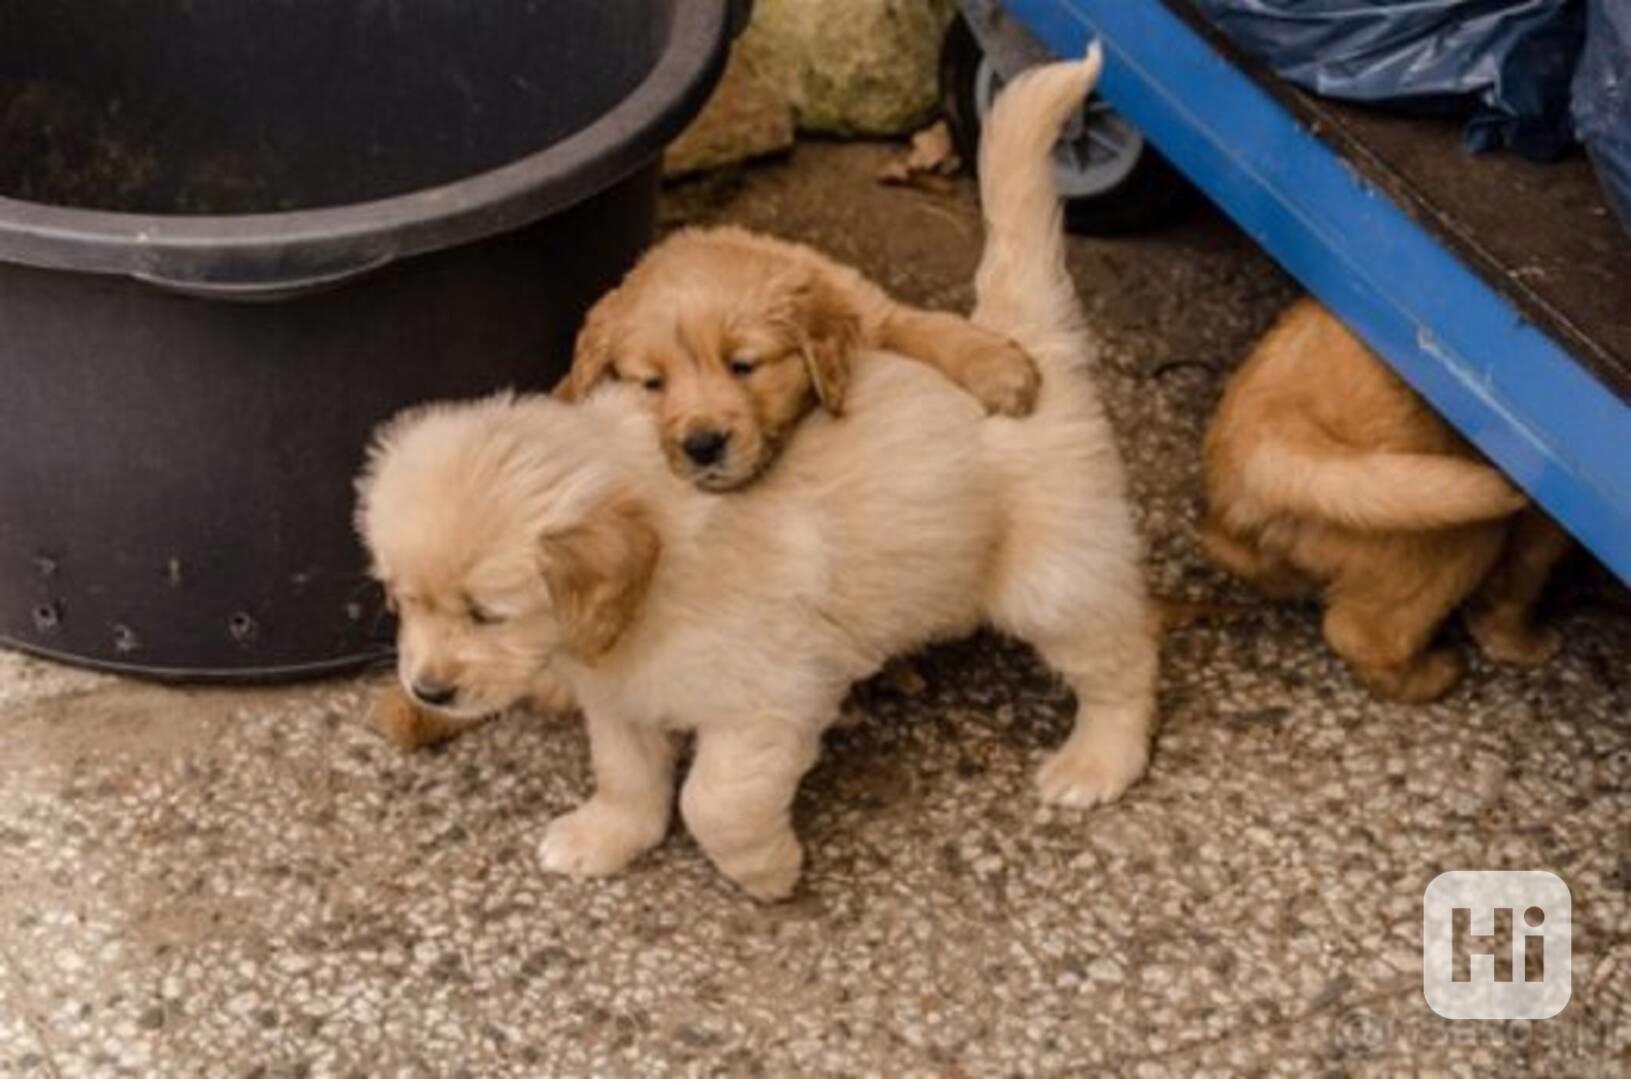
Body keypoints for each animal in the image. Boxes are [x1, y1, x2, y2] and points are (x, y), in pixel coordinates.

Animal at [557, 228, 1043, 495]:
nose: (702, 446)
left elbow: (926, 326)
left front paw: (1001, 368)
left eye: (743, 365)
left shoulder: (869, 308)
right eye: (653, 383)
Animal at [1206, 298, 1572, 700]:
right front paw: (1521, 643)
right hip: (1458, 528)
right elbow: (1524, 577)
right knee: (1361, 634)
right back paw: (1431, 675)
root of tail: (1269, 430)